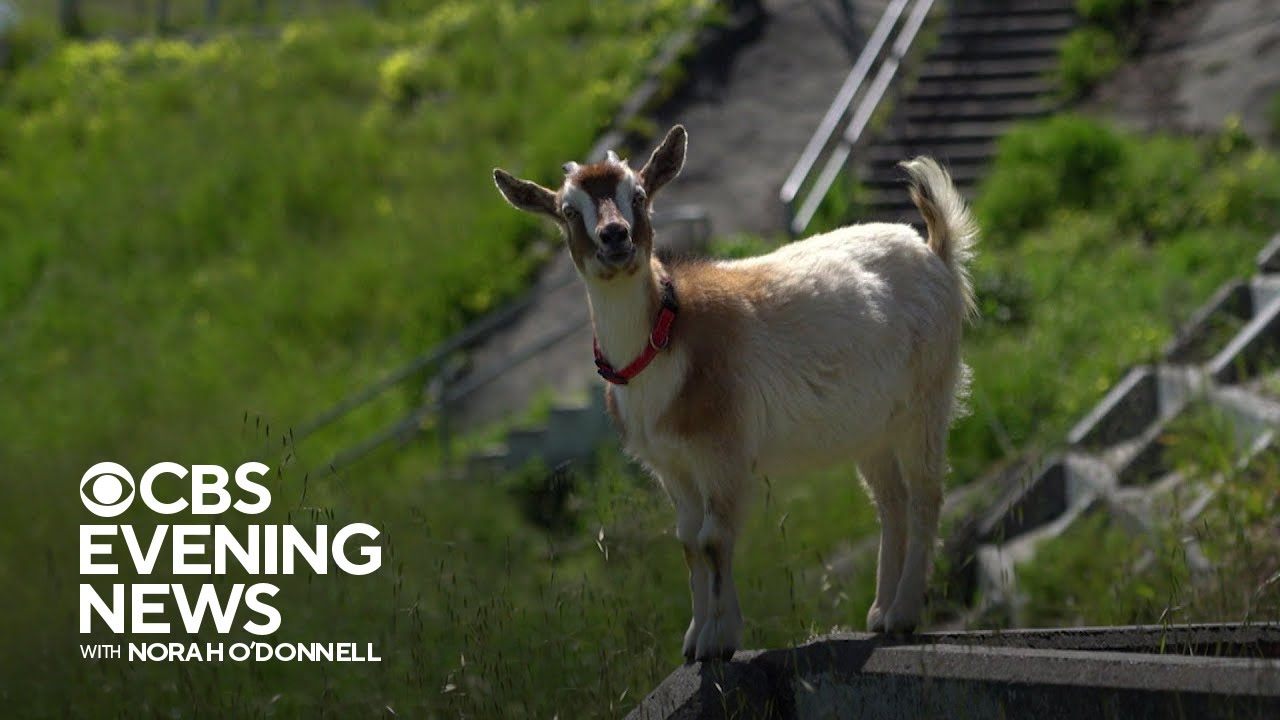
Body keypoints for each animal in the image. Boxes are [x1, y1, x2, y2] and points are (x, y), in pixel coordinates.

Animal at [494, 124, 972, 661]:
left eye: (638, 195)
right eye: (569, 211)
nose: (614, 236)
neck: (666, 336)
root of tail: (935, 251)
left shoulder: (721, 451)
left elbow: (713, 539)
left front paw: (719, 641)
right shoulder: (671, 465)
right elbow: (687, 542)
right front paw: (693, 639)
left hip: (927, 398)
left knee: (926, 493)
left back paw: (905, 612)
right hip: (871, 428)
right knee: (890, 501)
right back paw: (880, 614)